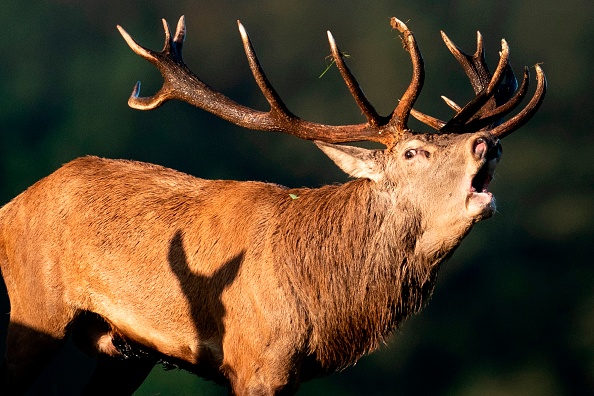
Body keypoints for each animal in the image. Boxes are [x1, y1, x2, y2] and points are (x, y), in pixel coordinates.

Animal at [0, 14, 540, 392]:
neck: (321, 300)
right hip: (33, 307)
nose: (488, 142)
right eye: (412, 151)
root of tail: (10, 208)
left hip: (124, 352)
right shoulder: (258, 361)